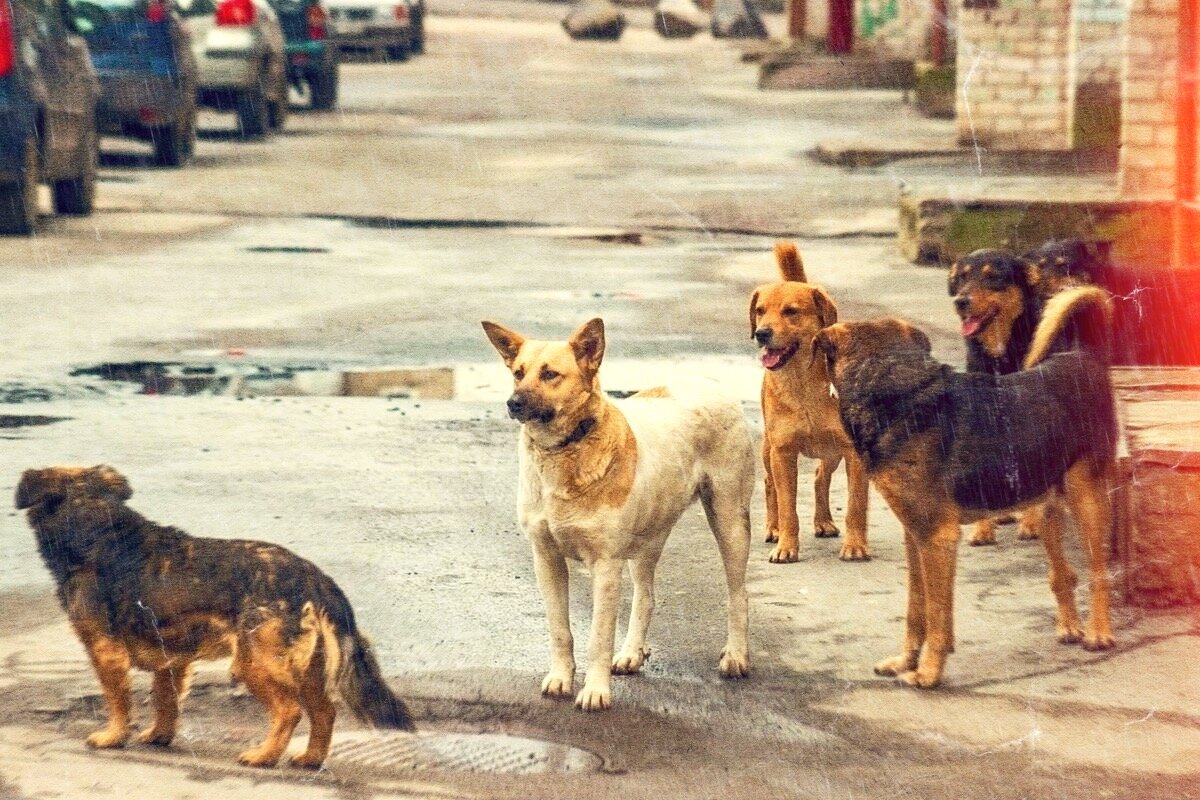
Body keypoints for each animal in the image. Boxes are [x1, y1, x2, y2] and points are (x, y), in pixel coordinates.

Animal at [12, 465, 417, 767]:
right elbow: (165, 701)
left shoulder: (105, 651)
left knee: (289, 711)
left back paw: (264, 756)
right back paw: (309, 759)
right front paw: (159, 736)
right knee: (325, 712)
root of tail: (314, 576)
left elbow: (119, 701)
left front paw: (113, 736)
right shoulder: (172, 658)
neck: (95, 523)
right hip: (307, 668)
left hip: (255, 663)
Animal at [482, 316, 753, 710]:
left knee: (738, 594)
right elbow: (560, 630)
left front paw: (595, 691)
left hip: (730, 521)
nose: (513, 403)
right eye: (518, 373)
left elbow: (598, 636)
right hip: (648, 537)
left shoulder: (606, 566)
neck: (566, 450)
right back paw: (631, 653)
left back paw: (736, 656)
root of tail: (708, 382)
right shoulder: (546, 559)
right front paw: (561, 678)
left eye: (550, 374)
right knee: (647, 596)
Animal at [753, 244, 868, 563]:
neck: (803, 385)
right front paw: (786, 546)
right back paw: (773, 528)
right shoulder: (782, 452)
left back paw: (824, 522)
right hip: (768, 449)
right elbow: (788, 507)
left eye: (791, 311)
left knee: (819, 477)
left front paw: (855, 546)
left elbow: (856, 506)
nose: (761, 333)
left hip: (832, 452)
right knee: (769, 485)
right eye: (760, 311)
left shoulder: (853, 452)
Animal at [816, 286, 1113, 690]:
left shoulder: (936, 538)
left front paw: (928, 672)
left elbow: (937, 616)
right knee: (1063, 573)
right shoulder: (916, 536)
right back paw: (1069, 626)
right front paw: (905, 661)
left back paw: (1099, 633)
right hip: (1046, 506)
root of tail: (1084, 356)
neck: (895, 391)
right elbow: (917, 610)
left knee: (1098, 573)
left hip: (1087, 500)